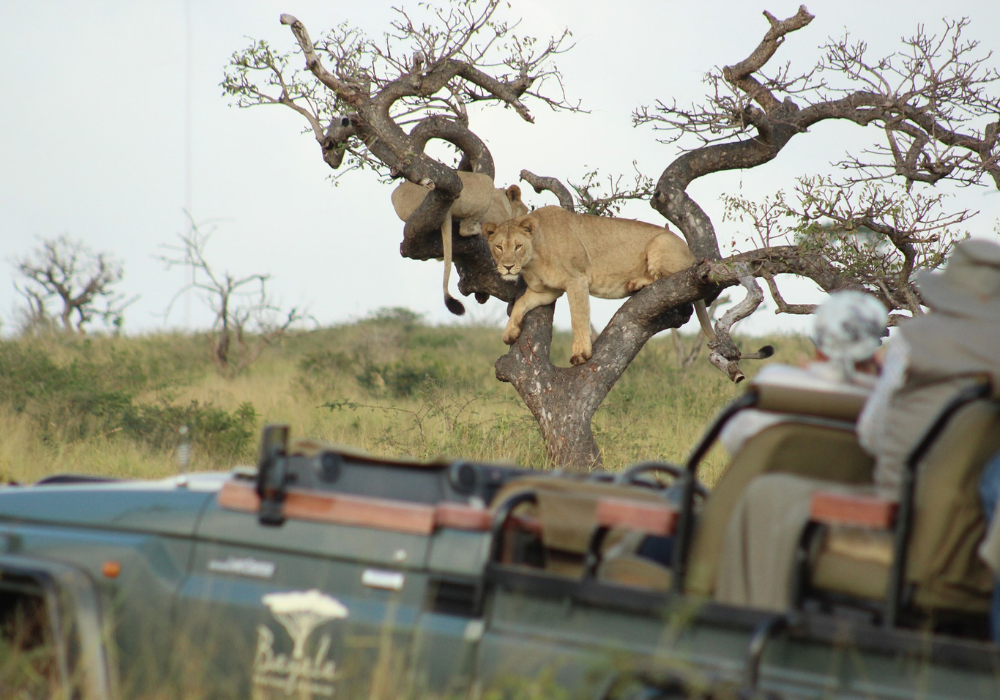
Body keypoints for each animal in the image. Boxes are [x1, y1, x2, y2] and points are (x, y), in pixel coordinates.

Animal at [482, 205, 718, 366]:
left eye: (518, 246)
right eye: (499, 247)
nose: (508, 267)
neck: (533, 259)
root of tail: (692, 254)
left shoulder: (576, 280)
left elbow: (578, 318)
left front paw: (580, 353)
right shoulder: (548, 291)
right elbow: (521, 303)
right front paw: (510, 332)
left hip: (660, 243)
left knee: (666, 277)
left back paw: (636, 282)